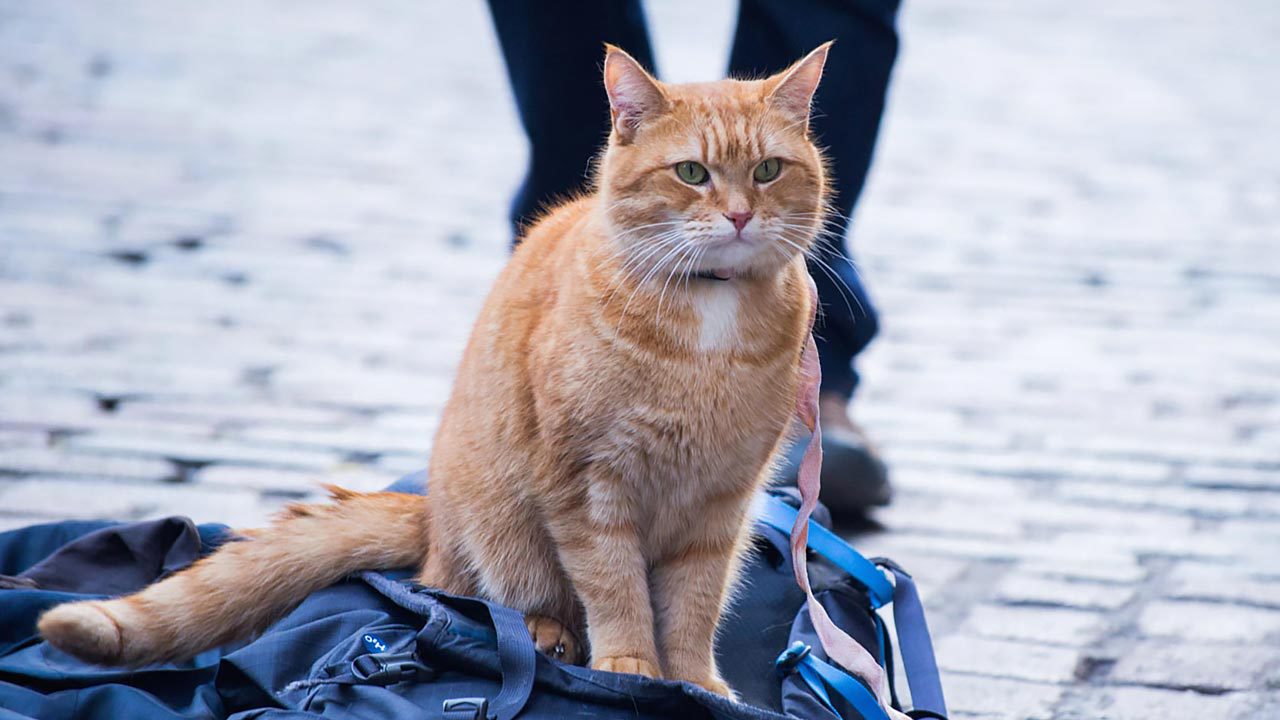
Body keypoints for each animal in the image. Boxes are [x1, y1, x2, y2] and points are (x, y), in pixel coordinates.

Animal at [37, 43, 829, 696]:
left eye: (767, 171)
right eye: (692, 173)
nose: (738, 216)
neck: (710, 321)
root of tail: (432, 511)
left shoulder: (721, 505)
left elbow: (694, 606)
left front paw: (693, 684)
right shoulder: (587, 484)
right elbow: (616, 589)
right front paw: (631, 666)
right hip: (498, 521)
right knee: (482, 591)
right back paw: (544, 633)